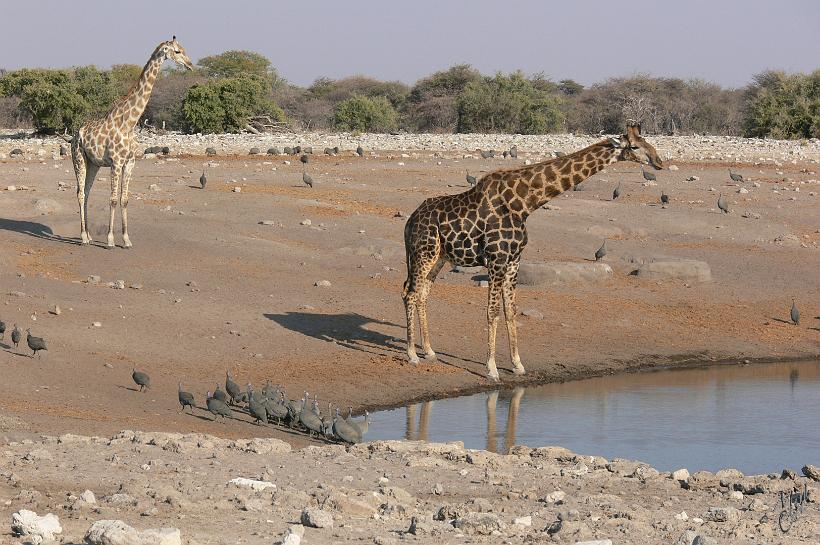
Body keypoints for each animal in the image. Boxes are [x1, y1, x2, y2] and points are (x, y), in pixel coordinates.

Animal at [71, 37, 193, 248]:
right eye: (177, 51)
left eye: (184, 50)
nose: (190, 65)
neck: (130, 123)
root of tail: (73, 136)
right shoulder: (116, 163)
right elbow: (112, 199)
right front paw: (110, 240)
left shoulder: (130, 163)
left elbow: (125, 199)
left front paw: (127, 239)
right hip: (78, 159)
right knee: (80, 193)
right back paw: (83, 238)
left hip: (93, 164)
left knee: (86, 192)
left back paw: (88, 235)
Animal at [402, 124, 663, 381]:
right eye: (634, 146)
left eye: (646, 141)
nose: (659, 161)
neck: (524, 205)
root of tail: (410, 220)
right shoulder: (496, 259)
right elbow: (492, 311)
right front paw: (492, 369)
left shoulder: (514, 259)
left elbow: (510, 310)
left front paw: (517, 365)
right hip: (423, 253)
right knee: (410, 294)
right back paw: (412, 355)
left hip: (438, 257)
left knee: (422, 294)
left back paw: (429, 351)